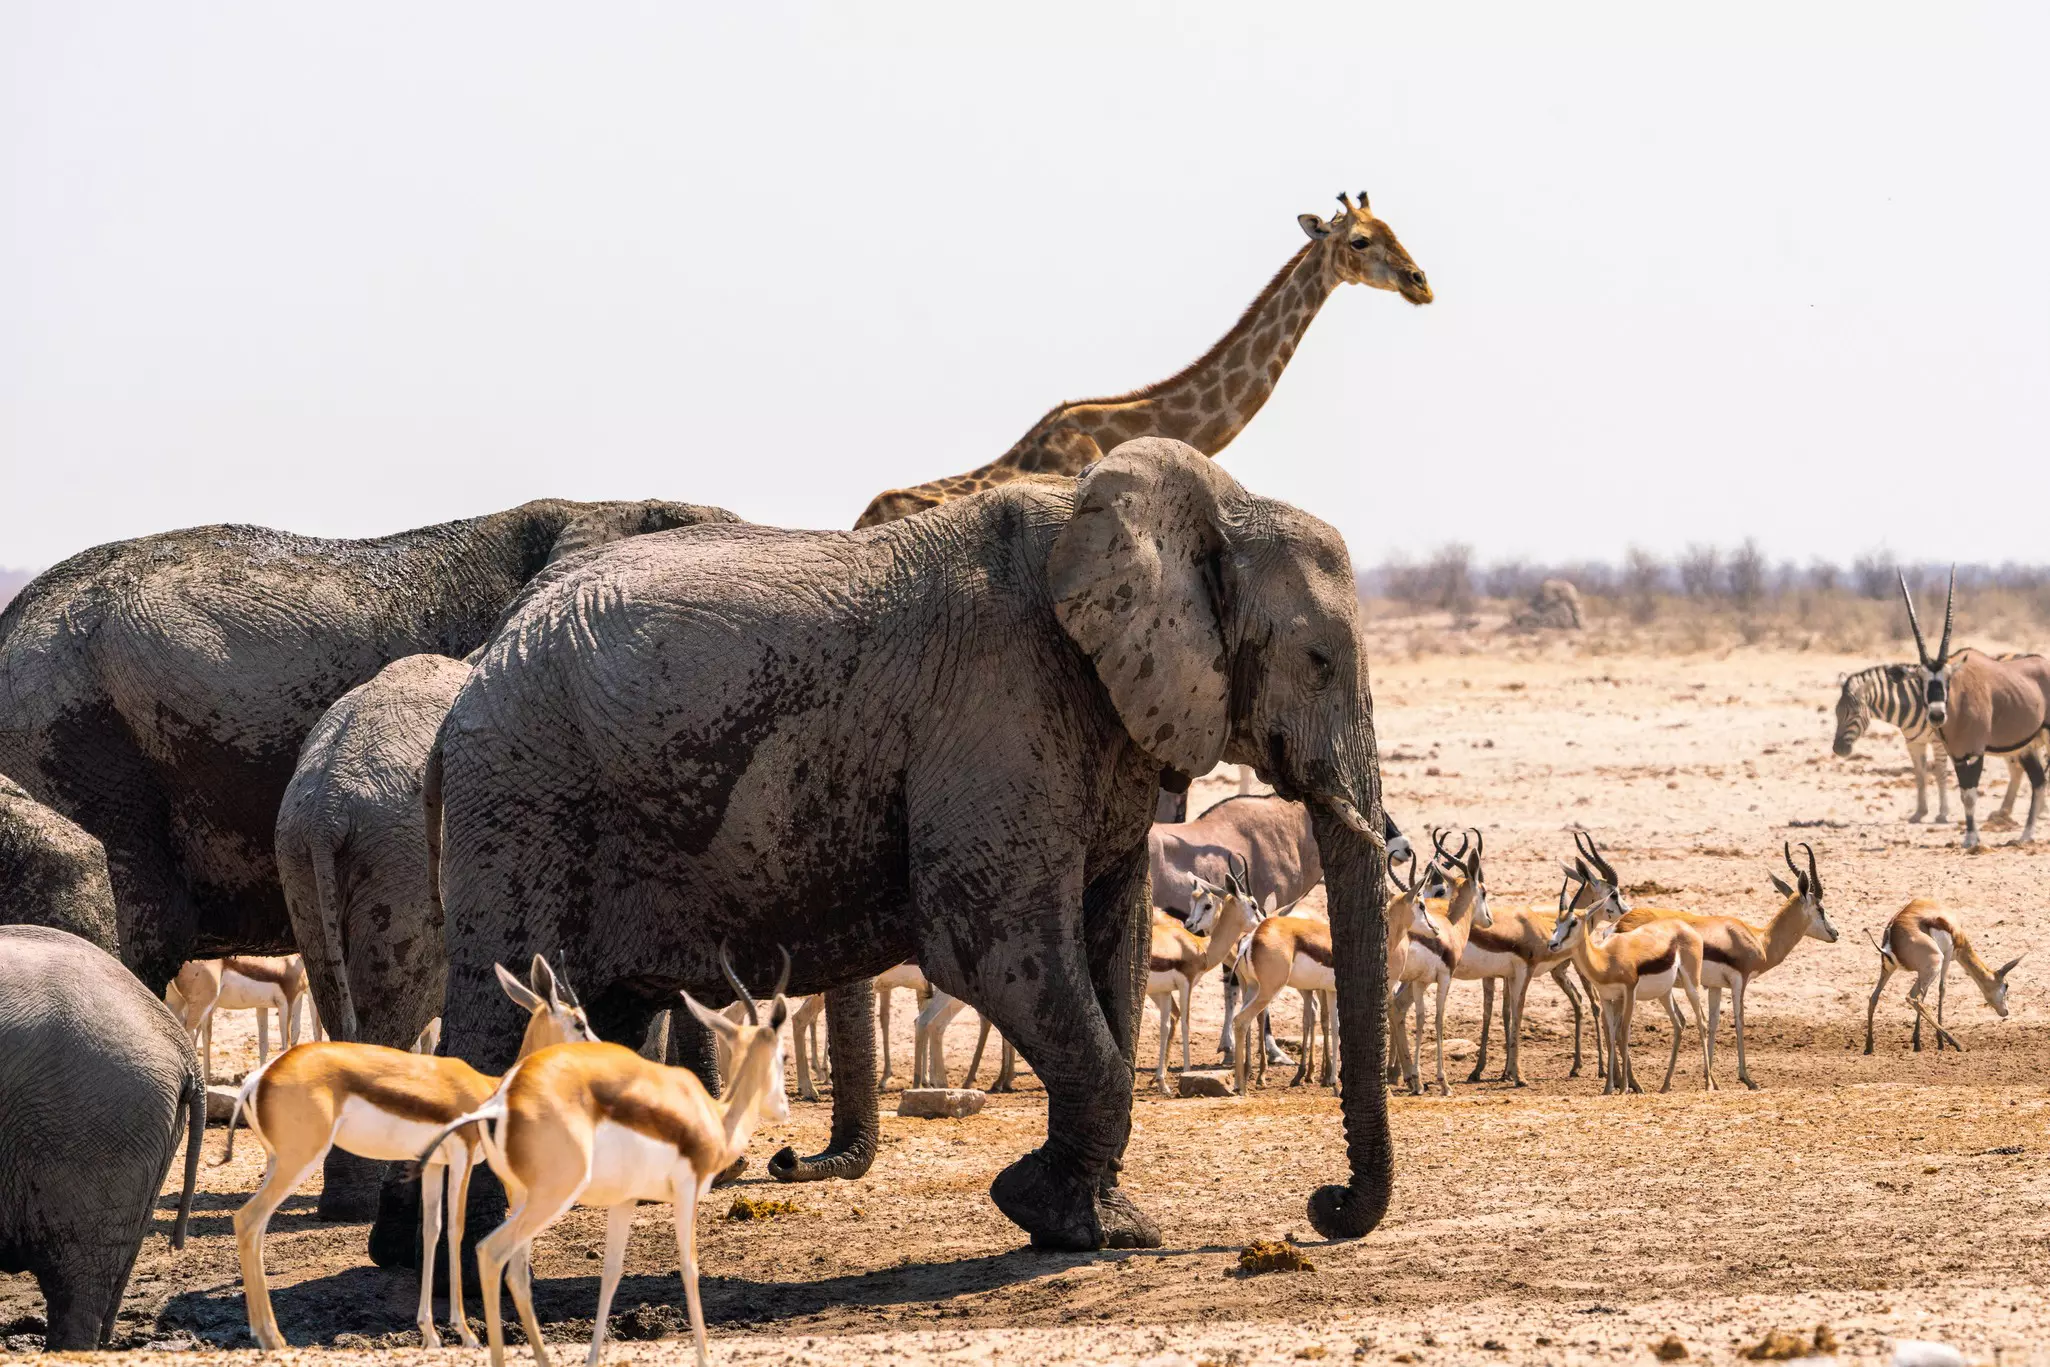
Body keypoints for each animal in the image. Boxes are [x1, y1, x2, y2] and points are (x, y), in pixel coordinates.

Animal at [398, 438, 1393, 1253]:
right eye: (1319, 662)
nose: (1322, 1207)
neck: (1209, 507)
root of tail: (476, 673)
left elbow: (1108, 946)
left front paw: (1098, 1225)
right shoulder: (1001, 711)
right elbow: (995, 946)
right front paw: (1048, 1210)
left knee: (600, 1014)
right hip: (526, 801)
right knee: (497, 1013)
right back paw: (445, 1250)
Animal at [1833, 662, 2034, 826]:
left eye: (1855, 713)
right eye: (1836, 712)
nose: (1838, 749)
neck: (1914, 704)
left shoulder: (1939, 742)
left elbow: (1940, 774)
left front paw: (1942, 814)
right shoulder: (1914, 742)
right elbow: (1920, 775)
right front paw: (1919, 813)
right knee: (2017, 770)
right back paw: (2005, 812)